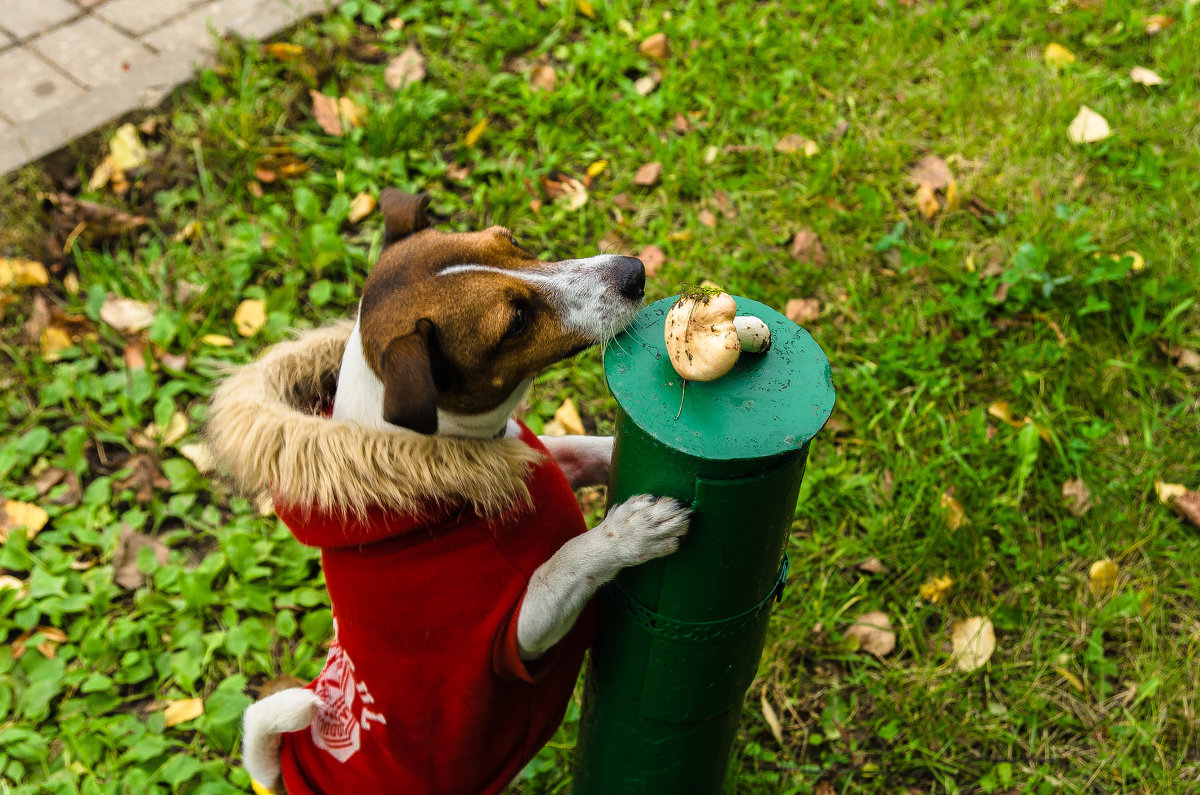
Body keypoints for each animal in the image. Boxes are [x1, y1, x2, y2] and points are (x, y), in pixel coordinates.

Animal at [211, 189, 691, 792]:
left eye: (512, 241)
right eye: (515, 322)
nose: (634, 271)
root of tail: (286, 773)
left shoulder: (538, 454)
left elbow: (586, 450)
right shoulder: (515, 637)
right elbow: (564, 563)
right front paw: (628, 531)